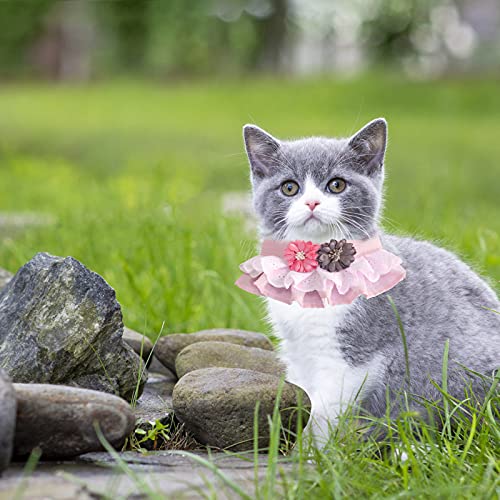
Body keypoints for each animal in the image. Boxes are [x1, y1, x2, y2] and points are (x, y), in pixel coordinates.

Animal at [242, 118, 500, 442]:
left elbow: (324, 409)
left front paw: (314, 451)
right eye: (289, 187)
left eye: (337, 185)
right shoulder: (297, 349)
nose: (312, 202)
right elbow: (303, 394)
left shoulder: (354, 354)